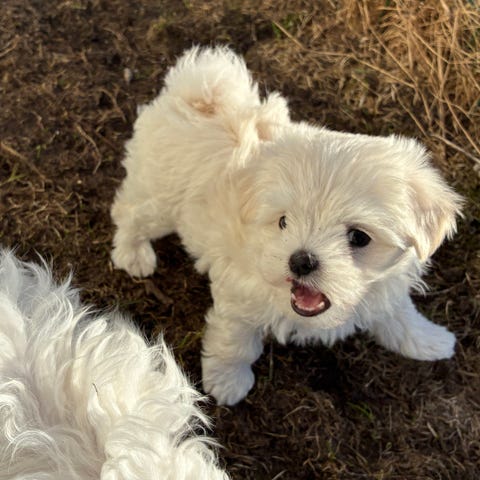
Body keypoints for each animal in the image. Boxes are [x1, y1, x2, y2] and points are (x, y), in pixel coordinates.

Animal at [111, 46, 462, 406]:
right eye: (283, 222)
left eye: (359, 237)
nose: (301, 261)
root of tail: (194, 96)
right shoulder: (240, 296)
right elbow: (236, 342)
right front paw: (227, 381)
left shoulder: (387, 284)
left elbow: (401, 315)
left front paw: (431, 340)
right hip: (162, 200)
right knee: (130, 212)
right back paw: (132, 253)